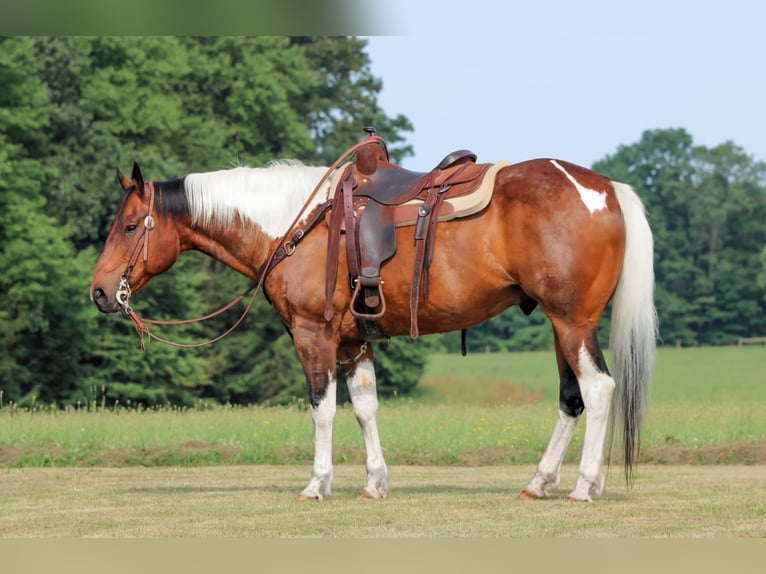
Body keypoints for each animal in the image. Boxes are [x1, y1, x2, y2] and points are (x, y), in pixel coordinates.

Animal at [90, 141, 657, 502]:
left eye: (128, 226)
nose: (98, 291)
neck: (297, 224)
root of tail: (606, 187)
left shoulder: (313, 333)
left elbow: (321, 408)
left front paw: (317, 484)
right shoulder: (353, 341)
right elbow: (365, 407)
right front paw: (374, 483)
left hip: (572, 322)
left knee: (599, 390)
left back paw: (584, 486)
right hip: (562, 326)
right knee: (571, 398)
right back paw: (540, 483)